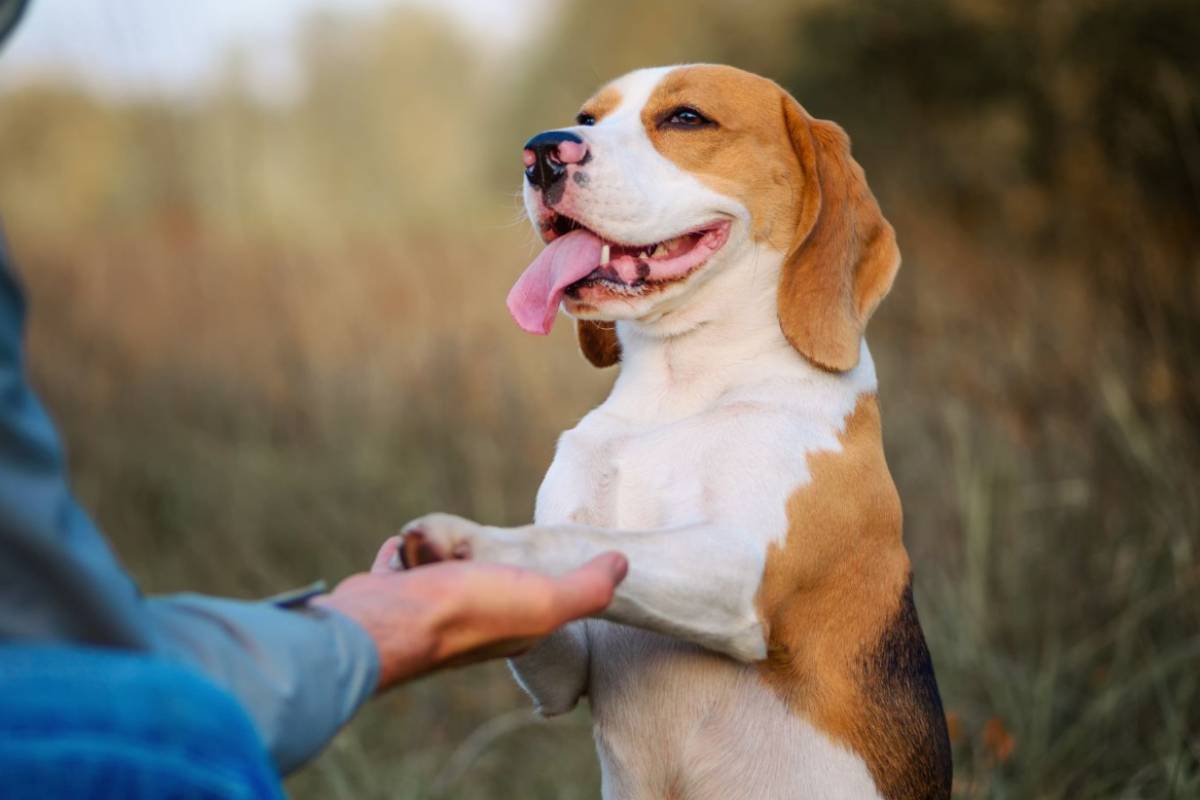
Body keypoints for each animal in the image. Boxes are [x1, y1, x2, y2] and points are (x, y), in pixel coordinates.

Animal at [398, 65, 950, 796]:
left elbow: (574, 538)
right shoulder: (566, 670)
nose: (541, 152)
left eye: (686, 118)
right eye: (588, 118)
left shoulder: (736, 568)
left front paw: (472, 542)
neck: (679, 388)